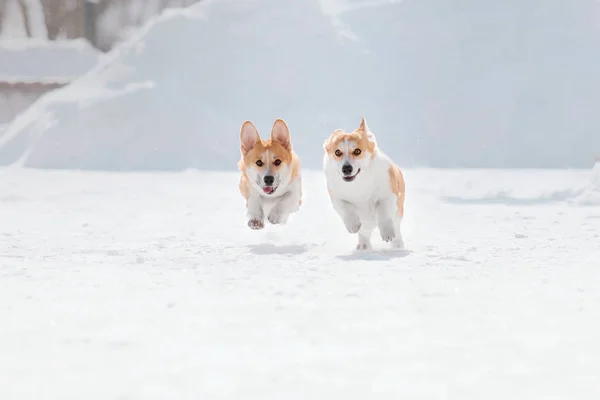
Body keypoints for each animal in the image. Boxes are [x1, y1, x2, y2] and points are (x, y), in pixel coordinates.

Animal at [324, 115, 404, 250]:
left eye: (357, 151)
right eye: (337, 152)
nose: (346, 168)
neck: (359, 183)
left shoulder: (388, 195)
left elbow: (383, 212)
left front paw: (387, 233)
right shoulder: (337, 198)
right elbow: (346, 208)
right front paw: (353, 225)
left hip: (398, 212)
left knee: (397, 227)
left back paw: (397, 244)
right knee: (364, 232)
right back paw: (363, 245)